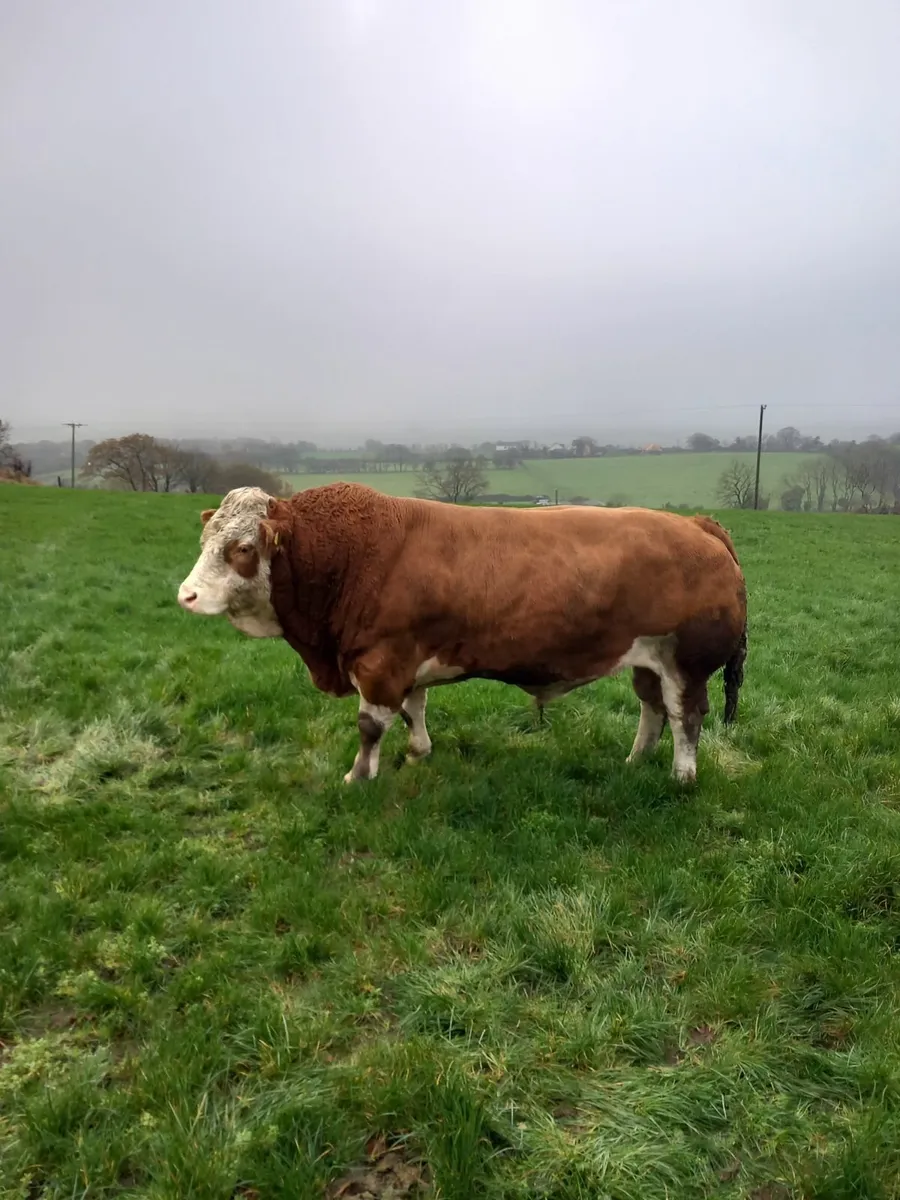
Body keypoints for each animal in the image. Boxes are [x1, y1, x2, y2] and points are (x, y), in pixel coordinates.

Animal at [177, 483, 748, 785]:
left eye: (242, 548)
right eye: (205, 539)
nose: (186, 595)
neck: (348, 555)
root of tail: (696, 524)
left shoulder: (381, 662)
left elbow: (369, 726)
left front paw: (359, 776)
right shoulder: (406, 662)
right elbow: (414, 710)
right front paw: (418, 752)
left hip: (686, 663)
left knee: (685, 716)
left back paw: (682, 776)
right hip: (646, 661)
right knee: (653, 709)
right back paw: (635, 761)